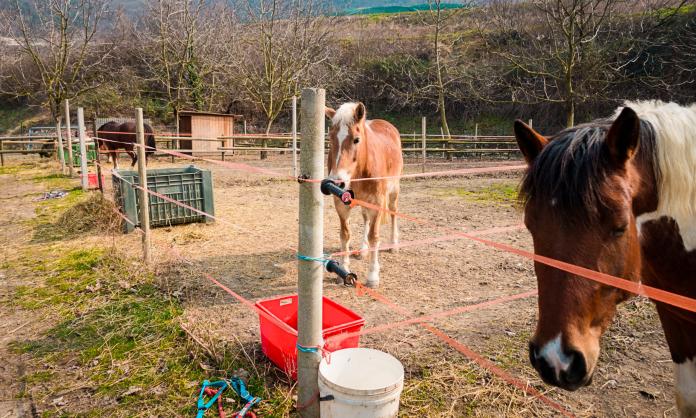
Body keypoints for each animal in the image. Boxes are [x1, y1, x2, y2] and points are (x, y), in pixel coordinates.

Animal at [325, 102, 403, 288]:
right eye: (330, 138)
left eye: (356, 139)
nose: (337, 182)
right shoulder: (341, 204)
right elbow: (345, 235)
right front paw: (343, 270)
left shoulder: (377, 202)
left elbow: (374, 236)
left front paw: (373, 276)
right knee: (366, 219)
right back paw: (363, 249)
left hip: (393, 191)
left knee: (393, 212)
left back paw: (393, 244)